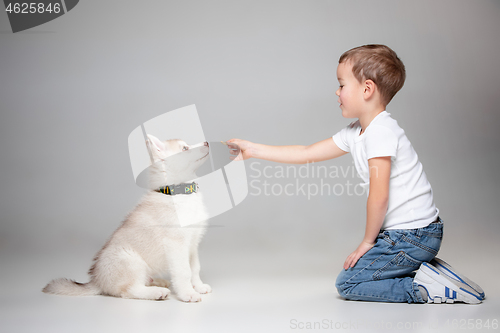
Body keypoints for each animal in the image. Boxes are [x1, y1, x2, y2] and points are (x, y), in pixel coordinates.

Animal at [43, 134, 213, 300]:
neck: (179, 192)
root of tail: (97, 281)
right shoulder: (176, 244)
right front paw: (188, 293)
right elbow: (184, 271)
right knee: (129, 290)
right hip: (131, 260)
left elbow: (195, 268)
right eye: (185, 148)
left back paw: (158, 281)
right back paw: (156, 292)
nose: (206, 142)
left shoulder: (192, 244)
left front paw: (198, 286)